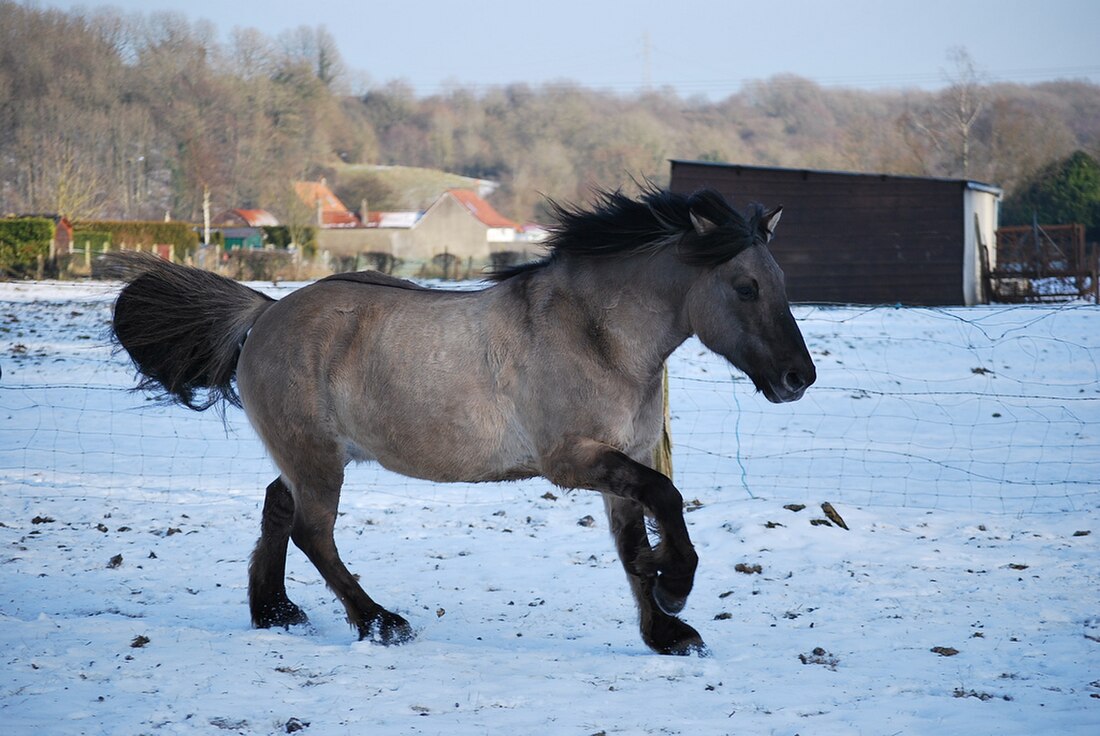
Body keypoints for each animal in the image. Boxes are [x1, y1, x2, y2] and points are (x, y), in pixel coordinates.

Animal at [109, 184, 818, 655]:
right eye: (745, 287)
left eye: (783, 281)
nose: (799, 378)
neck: (597, 336)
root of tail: (263, 314)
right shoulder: (573, 460)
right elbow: (663, 501)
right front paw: (674, 586)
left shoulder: (622, 459)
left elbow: (632, 540)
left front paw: (665, 627)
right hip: (317, 459)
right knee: (314, 532)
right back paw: (380, 622)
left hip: (311, 457)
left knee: (278, 509)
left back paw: (276, 612)